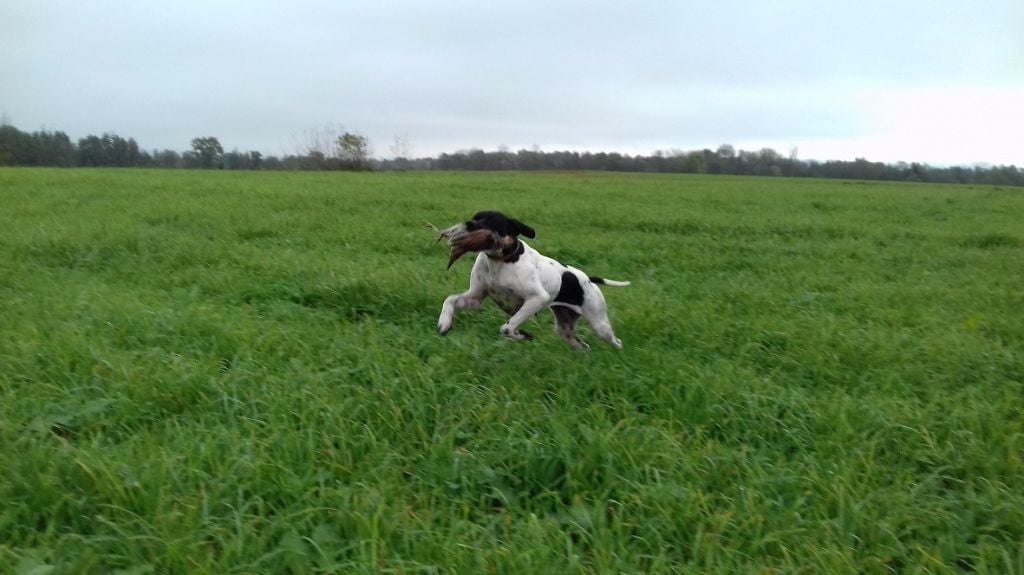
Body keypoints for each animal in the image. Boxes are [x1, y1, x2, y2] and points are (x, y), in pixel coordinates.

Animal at [434, 207, 626, 347]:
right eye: (475, 216)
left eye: (491, 221)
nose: (468, 223)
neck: (500, 261)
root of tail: (588, 279)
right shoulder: (475, 298)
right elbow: (449, 299)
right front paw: (444, 322)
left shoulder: (537, 298)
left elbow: (507, 327)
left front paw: (521, 335)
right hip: (565, 329)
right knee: (584, 347)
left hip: (600, 324)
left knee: (617, 342)